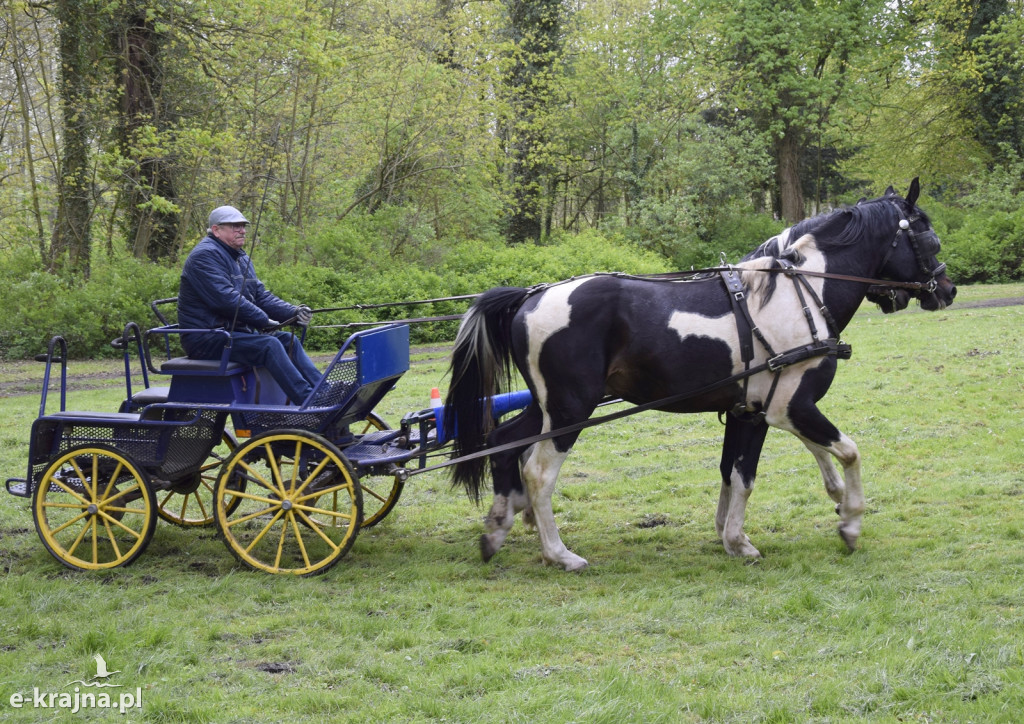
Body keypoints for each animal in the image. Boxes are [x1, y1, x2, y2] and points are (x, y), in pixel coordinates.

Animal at [444, 178, 954, 569]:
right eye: (929, 240)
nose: (947, 289)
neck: (800, 295)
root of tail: (532, 294)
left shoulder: (750, 411)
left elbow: (735, 472)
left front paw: (730, 533)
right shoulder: (786, 408)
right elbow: (839, 453)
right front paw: (845, 522)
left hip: (549, 406)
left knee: (504, 444)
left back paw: (500, 526)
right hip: (571, 410)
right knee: (537, 471)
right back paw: (558, 553)